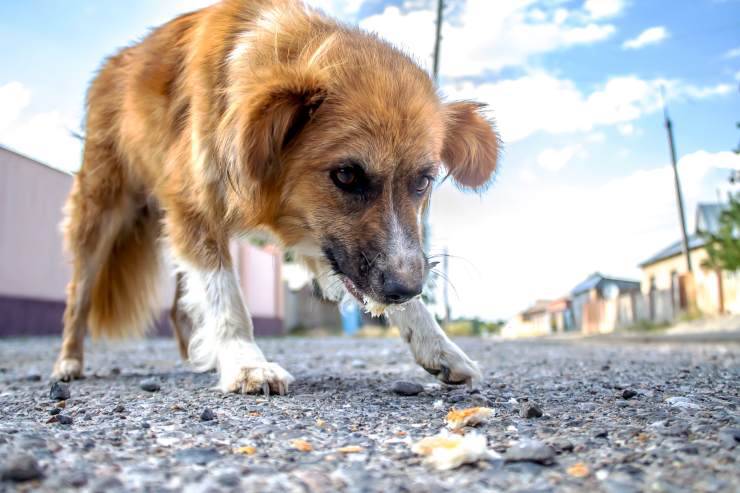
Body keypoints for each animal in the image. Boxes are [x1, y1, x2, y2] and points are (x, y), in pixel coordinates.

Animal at [52, 0, 500, 394]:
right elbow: (226, 295)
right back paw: (68, 363)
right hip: (101, 210)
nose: (404, 288)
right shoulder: (195, 204)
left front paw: (439, 347)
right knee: (78, 297)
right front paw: (246, 364)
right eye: (346, 175)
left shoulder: (319, 231)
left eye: (423, 181)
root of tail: (116, 61)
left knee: (179, 308)